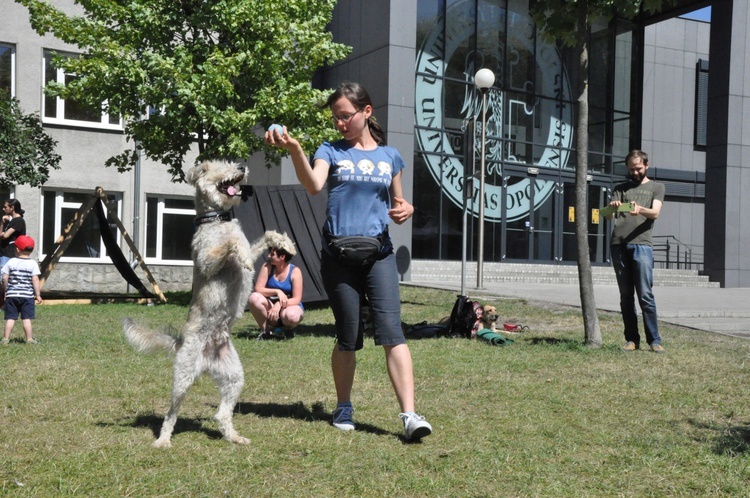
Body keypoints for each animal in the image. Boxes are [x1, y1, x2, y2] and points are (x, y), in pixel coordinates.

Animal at [125, 161, 280, 450]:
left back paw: (234, 436)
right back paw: (163, 440)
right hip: (184, 376)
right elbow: (230, 245)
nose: (241, 164)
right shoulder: (207, 261)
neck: (216, 219)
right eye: (219, 165)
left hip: (233, 375)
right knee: (171, 413)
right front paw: (241, 255)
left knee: (221, 413)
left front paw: (283, 242)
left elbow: (261, 239)